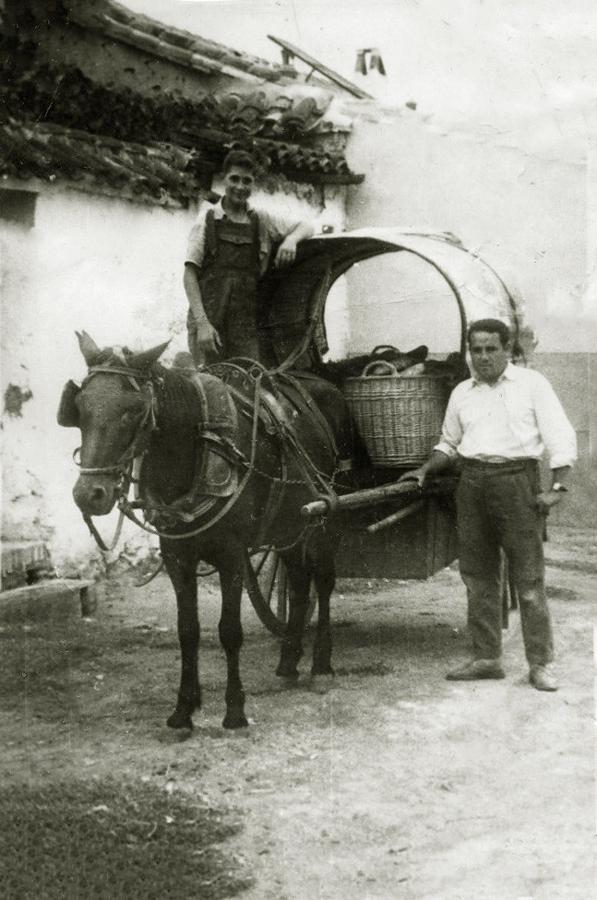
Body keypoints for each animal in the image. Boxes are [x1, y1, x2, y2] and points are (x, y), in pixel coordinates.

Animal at [59, 330, 358, 732]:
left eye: (132, 411)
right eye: (80, 408)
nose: (89, 495)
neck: (195, 451)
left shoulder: (232, 556)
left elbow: (229, 631)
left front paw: (234, 710)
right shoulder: (177, 556)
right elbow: (188, 631)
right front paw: (183, 709)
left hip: (328, 518)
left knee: (322, 582)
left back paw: (322, 666)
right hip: (288, 525)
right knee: (297, 582)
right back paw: (288, 660)